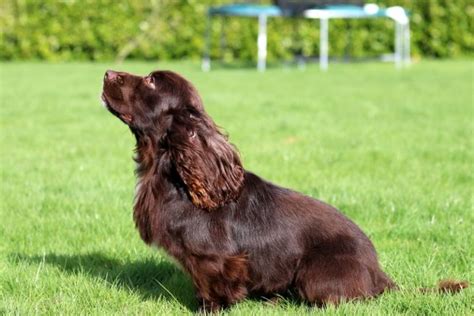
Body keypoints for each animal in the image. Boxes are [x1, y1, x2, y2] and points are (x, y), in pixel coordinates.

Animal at [100, 69, 466, 312]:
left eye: (151, 81)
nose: (107, 72)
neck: (170, 170)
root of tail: (379, 274)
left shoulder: (212, 257)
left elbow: (213, 287)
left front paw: (209, 308)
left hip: (315, 274)